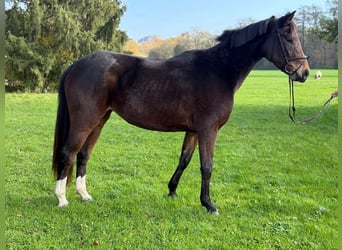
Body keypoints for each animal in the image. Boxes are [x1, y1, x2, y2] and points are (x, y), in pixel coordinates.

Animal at [52, 12, 310, 215]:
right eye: (288, 37)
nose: (304, 72)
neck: (219, 70)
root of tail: (77, 64)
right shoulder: (208, 129)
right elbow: (206, 166)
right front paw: (209, 205)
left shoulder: (194, 131)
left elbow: (184, 160)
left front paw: (172, 191)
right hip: (85, 121)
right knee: (68, 152)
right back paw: (62, 199)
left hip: (99, 120)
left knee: (83, 154)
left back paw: (84, 195)